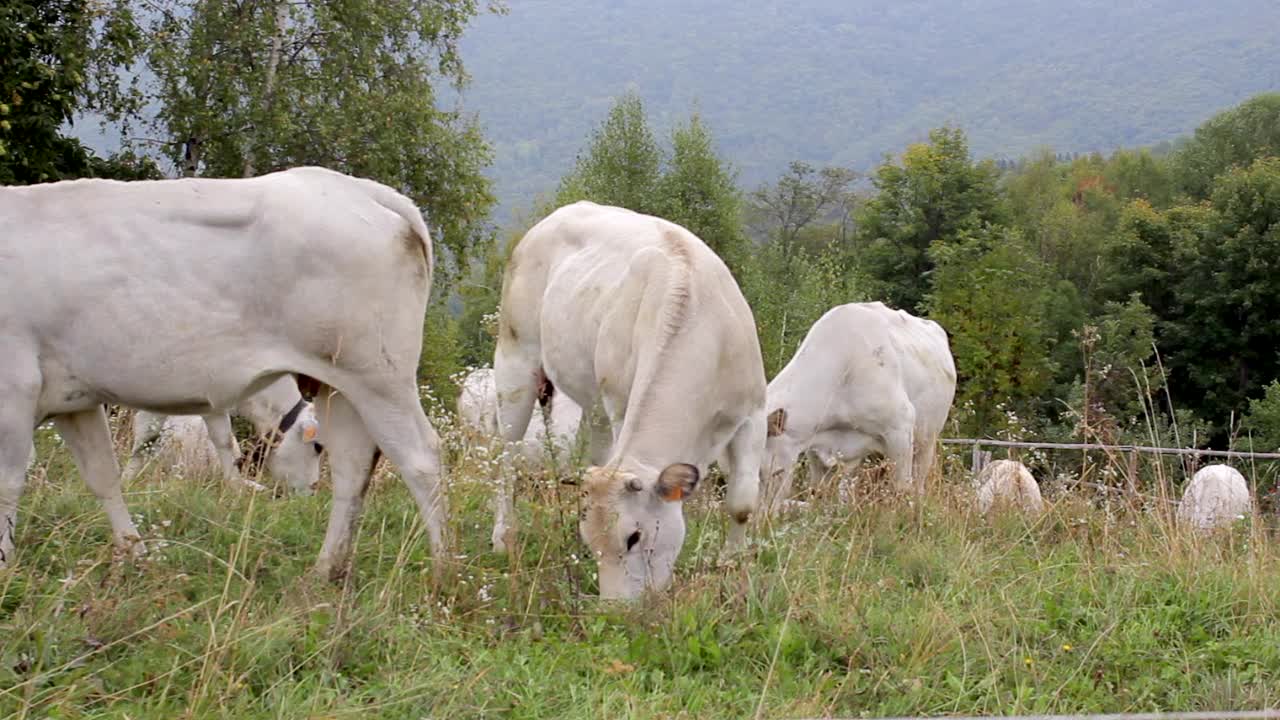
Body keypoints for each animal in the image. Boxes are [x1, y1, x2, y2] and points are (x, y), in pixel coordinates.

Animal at [494, 198, 762, 597]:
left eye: (633, 537)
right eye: (592, 542)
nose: (614, 607)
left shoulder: (753, 412)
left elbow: (742, 501)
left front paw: (732, 565)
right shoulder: (622, 407)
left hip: (591, 399)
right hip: (514, 359)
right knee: (505, 458)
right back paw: (502, 537)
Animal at [752, 299, 957, 507]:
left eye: (761, 471)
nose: (755, 515)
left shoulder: (900, 429)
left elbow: (901, 490)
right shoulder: (816, 448)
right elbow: (819, 495)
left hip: (926, 440)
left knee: (918, 485)